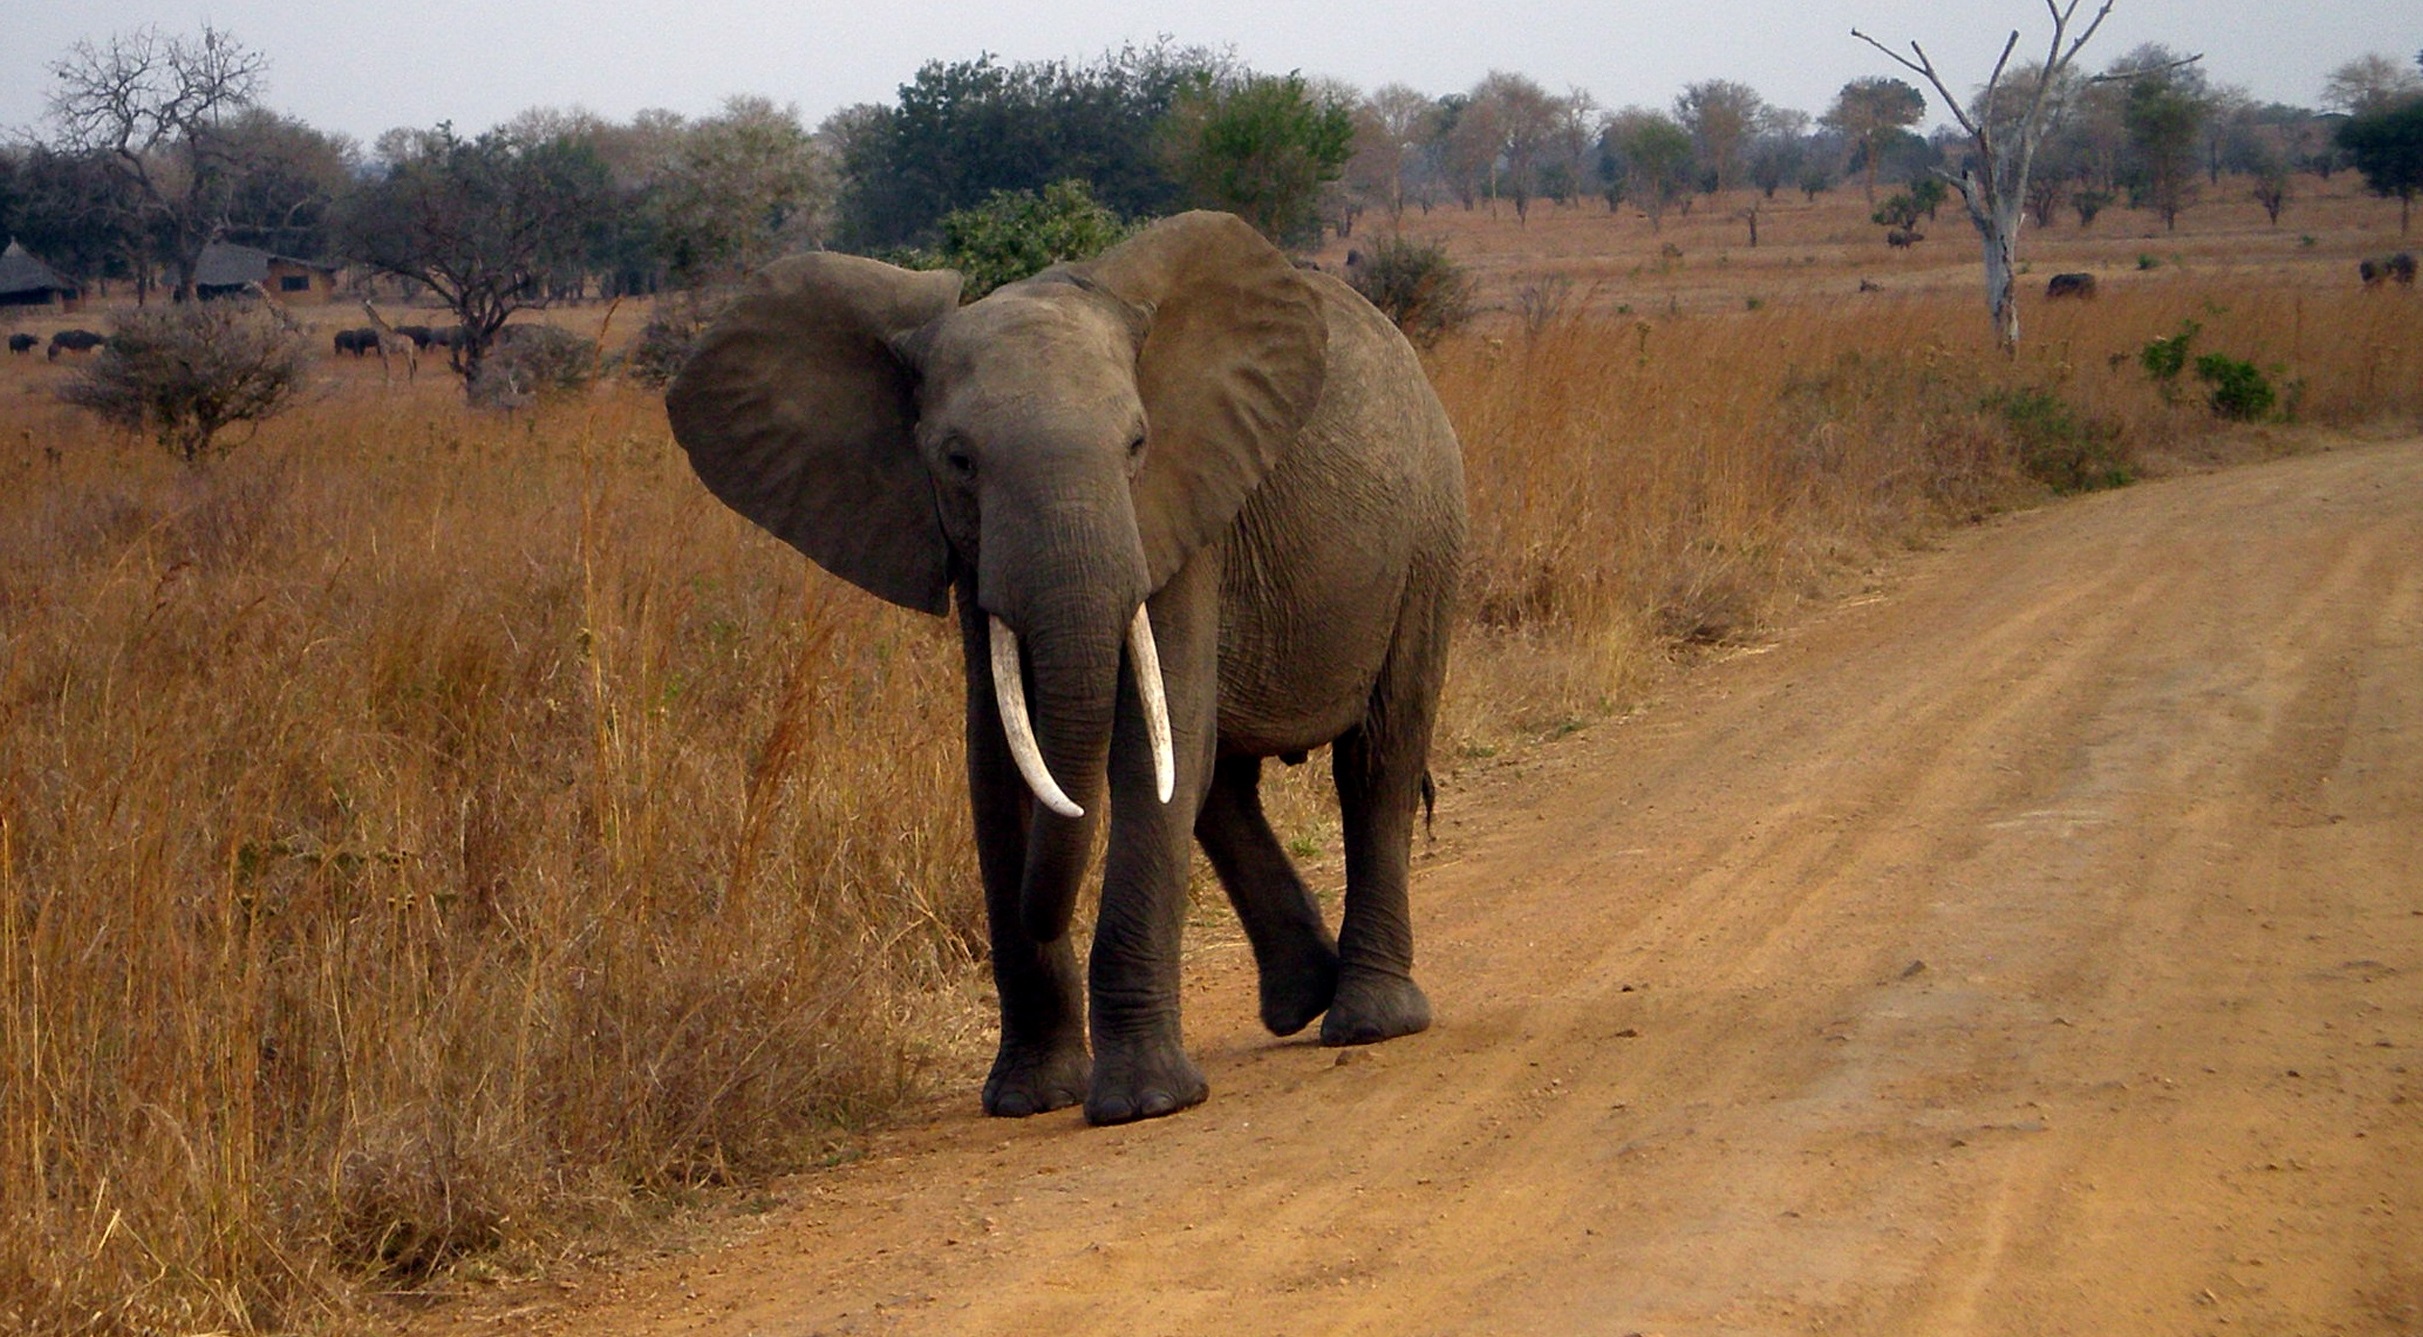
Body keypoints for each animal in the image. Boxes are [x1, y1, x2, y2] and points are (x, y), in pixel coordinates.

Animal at [666, 212, 1466, 1125]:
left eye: (1137, 443)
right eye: (957, 461)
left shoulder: (1179, 512)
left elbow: (1146, 752)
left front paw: (1144, 1104)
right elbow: (1000, 762)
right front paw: (1031, 1096)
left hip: (1429, 532)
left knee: (1374, 758)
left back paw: (1367, 1020)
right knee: (1219, 785)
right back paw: (1303, 998)